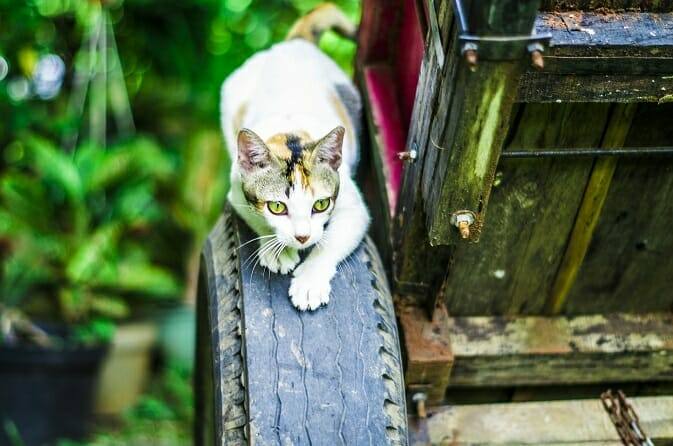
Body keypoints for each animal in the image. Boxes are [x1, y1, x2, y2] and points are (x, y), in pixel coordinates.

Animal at [219, 3, 368, 312]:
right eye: (277, 207)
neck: (290, 131)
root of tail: (291, 44)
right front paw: (277, 250)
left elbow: (329, 242)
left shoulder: (354, 206)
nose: (302, 237)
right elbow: (256, 218)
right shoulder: (236, 190)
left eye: (321, 204)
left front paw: (310, 281)